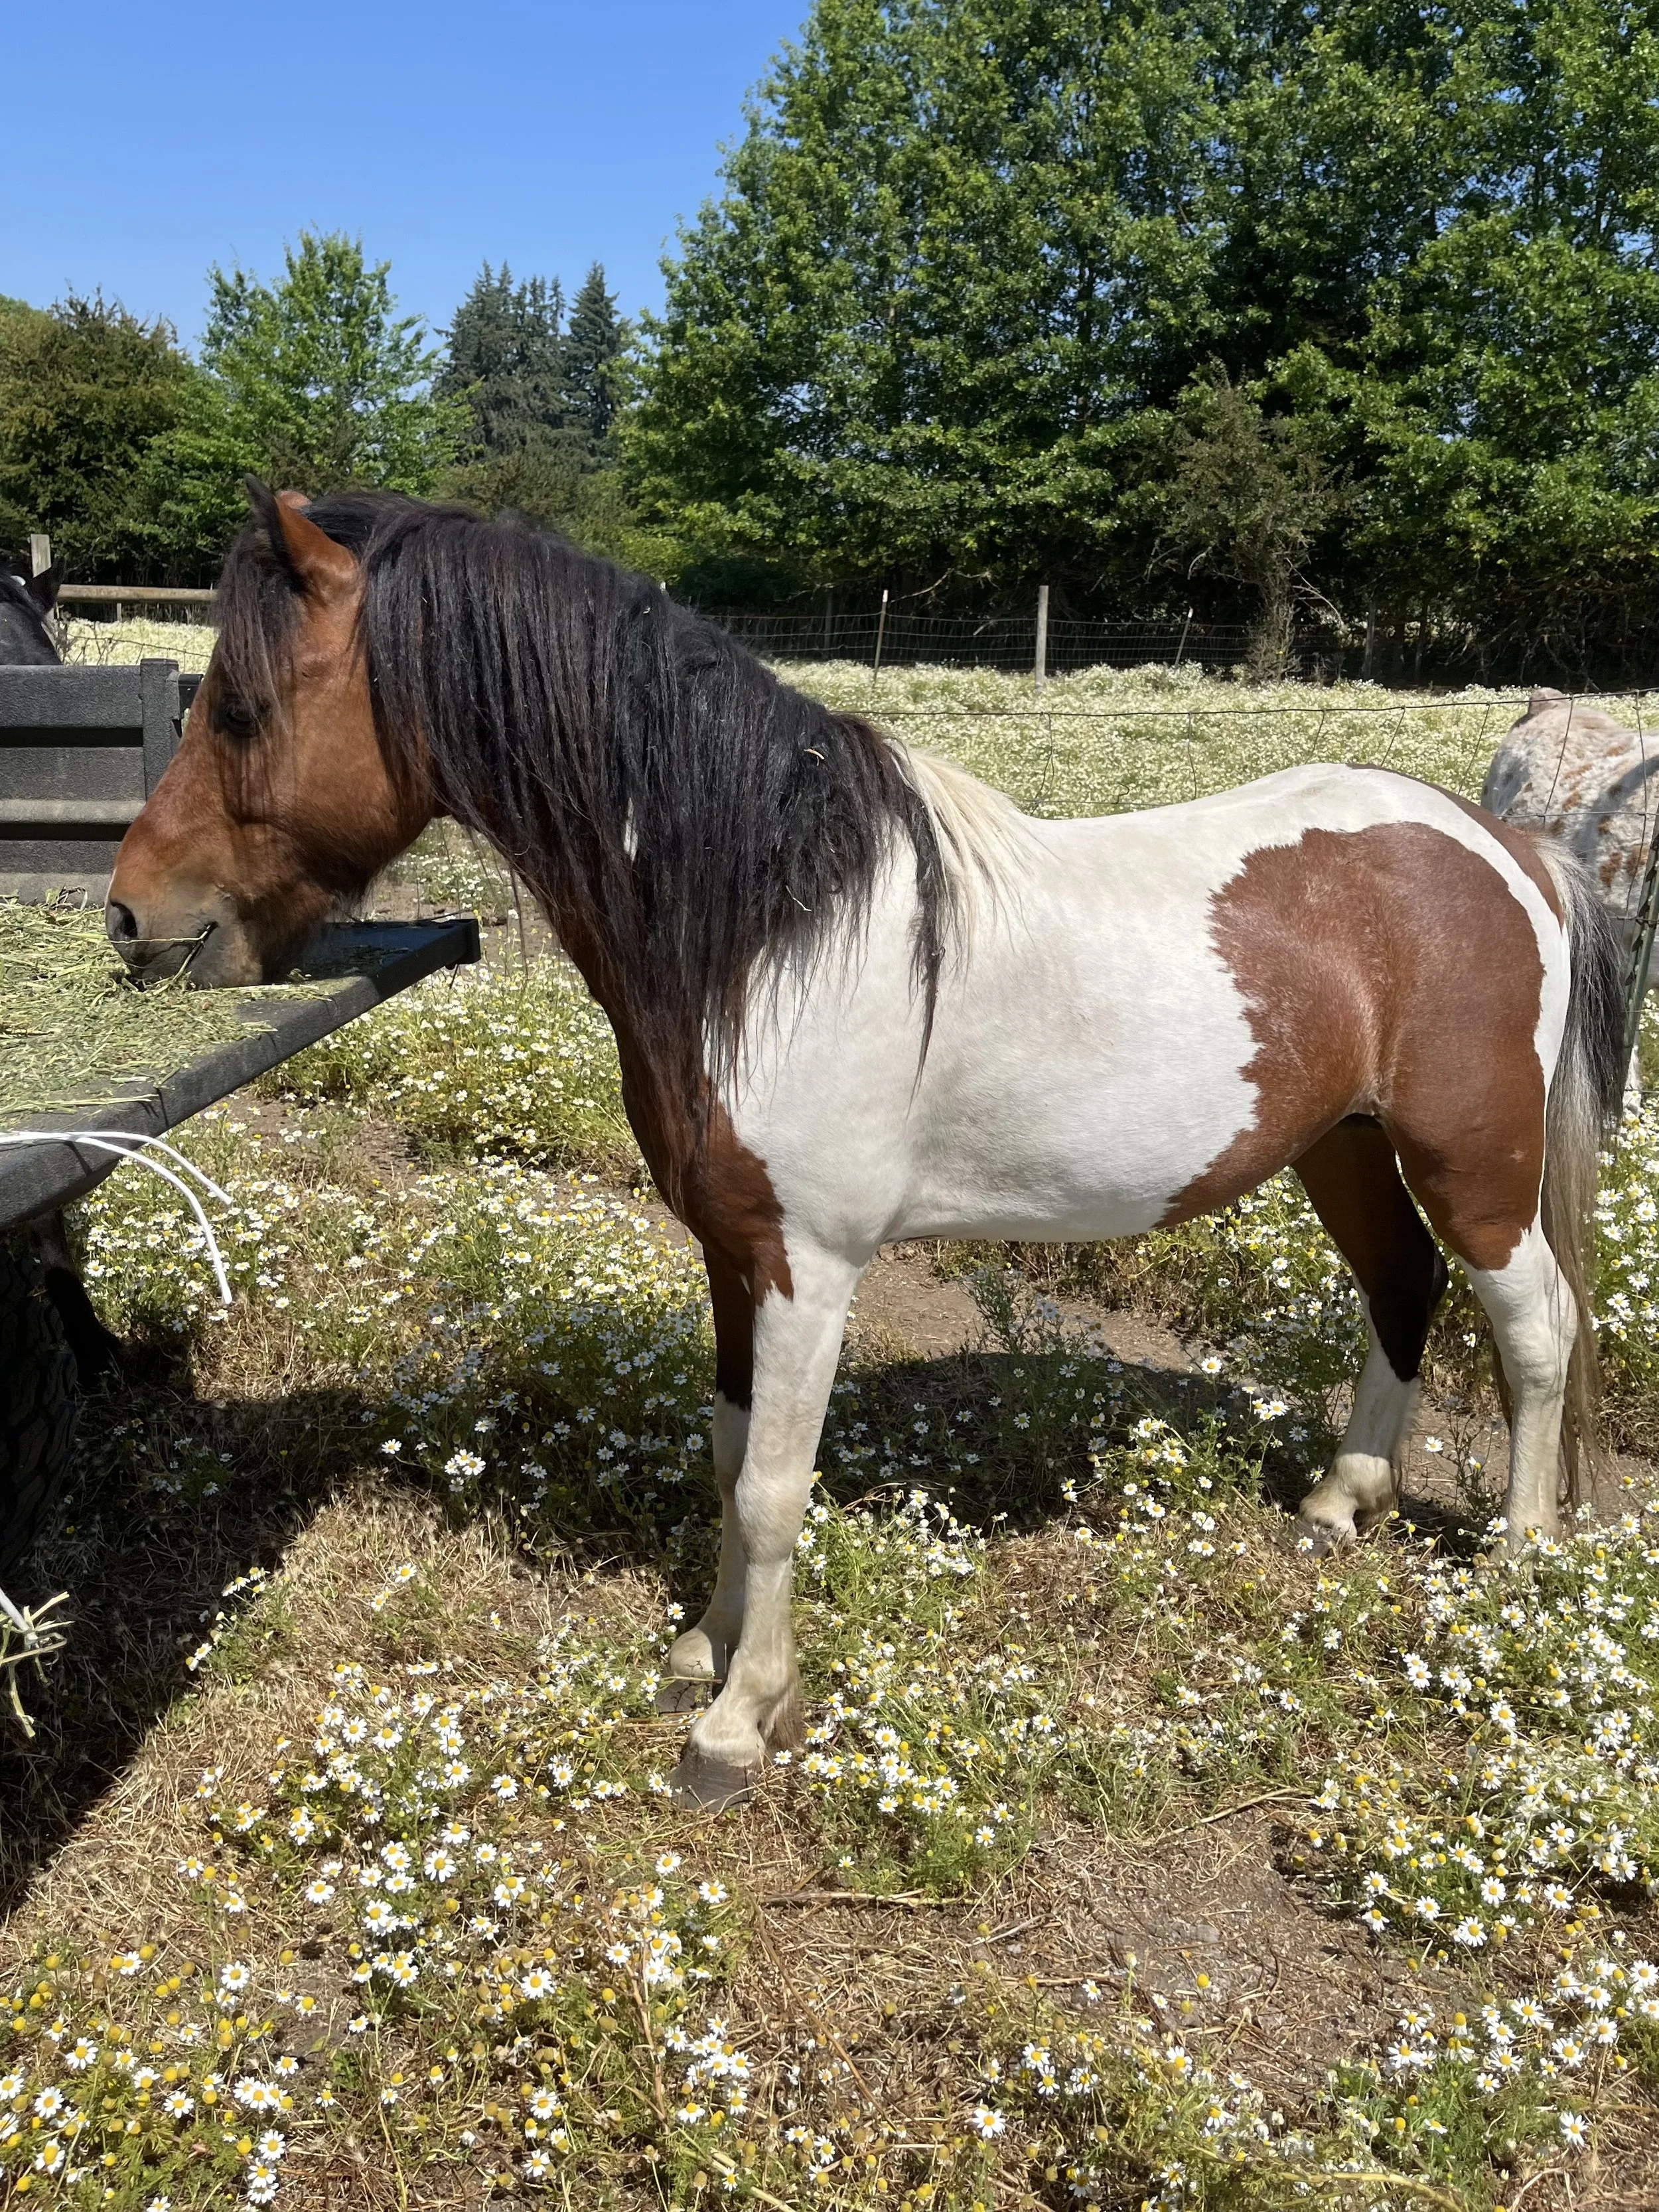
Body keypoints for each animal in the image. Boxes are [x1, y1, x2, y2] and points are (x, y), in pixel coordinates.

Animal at [105, 484, 1626, 1808]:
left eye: (238, 707)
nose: (130, 918)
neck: (773, 931)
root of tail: (1502, 845)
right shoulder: (731, 1253)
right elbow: (726, 1451)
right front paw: (699, 1649)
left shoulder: (809, 1265)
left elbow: (776, 1486)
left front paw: (737, 1721)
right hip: (1341, 1145)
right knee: (1398, 1289)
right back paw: (1337, 1503)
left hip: (1472, 1164)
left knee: (1533, 1327)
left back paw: (1516, 1564)